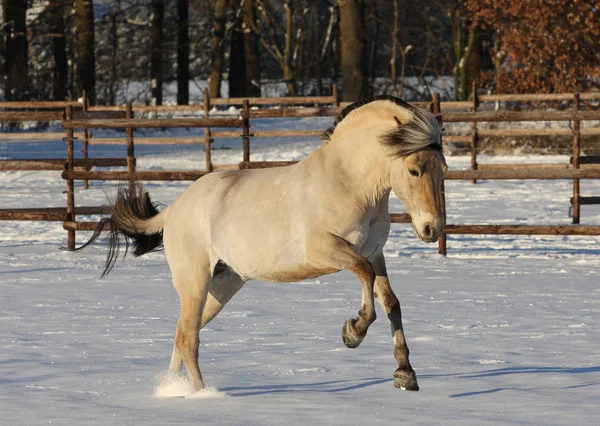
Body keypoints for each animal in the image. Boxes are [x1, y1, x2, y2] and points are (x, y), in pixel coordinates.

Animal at [76, 95, 446, 392]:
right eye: (414, 170)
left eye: (441, 168)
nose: (432, 229)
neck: (348, 182)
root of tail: (174, 210)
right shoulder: (326, 250)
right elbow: (364, 274)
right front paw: (352, 332)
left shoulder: (375, 252)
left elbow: (392, 303)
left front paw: (405, 375)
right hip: (194, 281)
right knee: (188, 337)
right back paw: (202, 396)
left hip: (224, 284)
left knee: (181, 334)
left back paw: (172, 389)